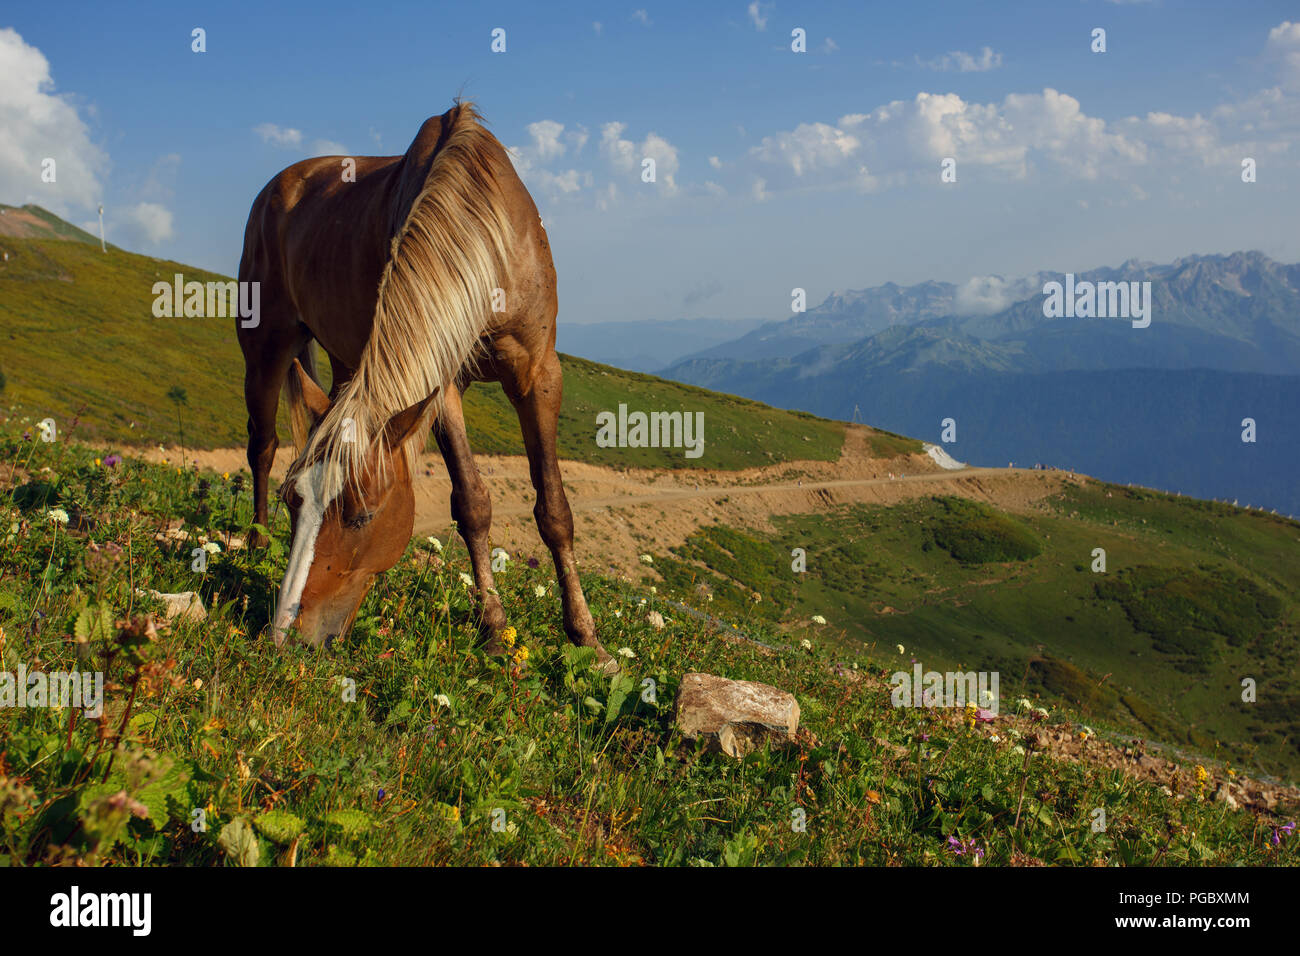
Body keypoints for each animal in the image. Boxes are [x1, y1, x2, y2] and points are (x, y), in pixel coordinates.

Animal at [237, 100, 613, 671]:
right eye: (292, 502)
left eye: (361, 516)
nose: (286, 636)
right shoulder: (442, 383)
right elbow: (472, 503)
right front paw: (493, 624)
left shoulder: (539, 374)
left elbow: (554, 509)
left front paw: (586, 637)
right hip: (265, 347)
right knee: (262, 444)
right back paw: (257, 546)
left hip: (345, 361)